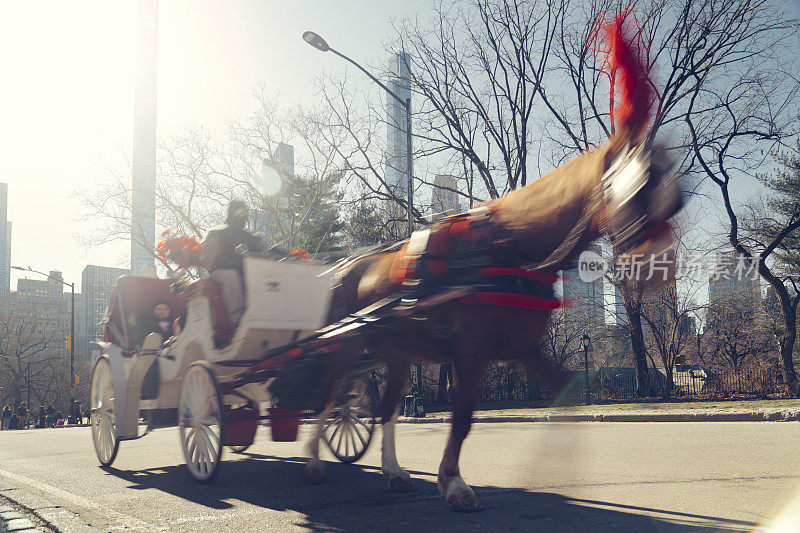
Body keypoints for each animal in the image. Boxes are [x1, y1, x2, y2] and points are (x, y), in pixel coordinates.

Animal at [300, 15, 680, 512]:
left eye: (676, 192)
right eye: (639, 185)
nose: (663, 267)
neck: (509, 247)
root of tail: (345, 269)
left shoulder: (522, 348)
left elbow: (566, 402)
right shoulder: (473, 352)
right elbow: (462, 418)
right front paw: (453, 483)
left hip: (399, 351)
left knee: (386, 408)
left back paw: (394, 471)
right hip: (347, 344)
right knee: (329, 397)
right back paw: (314, 462)